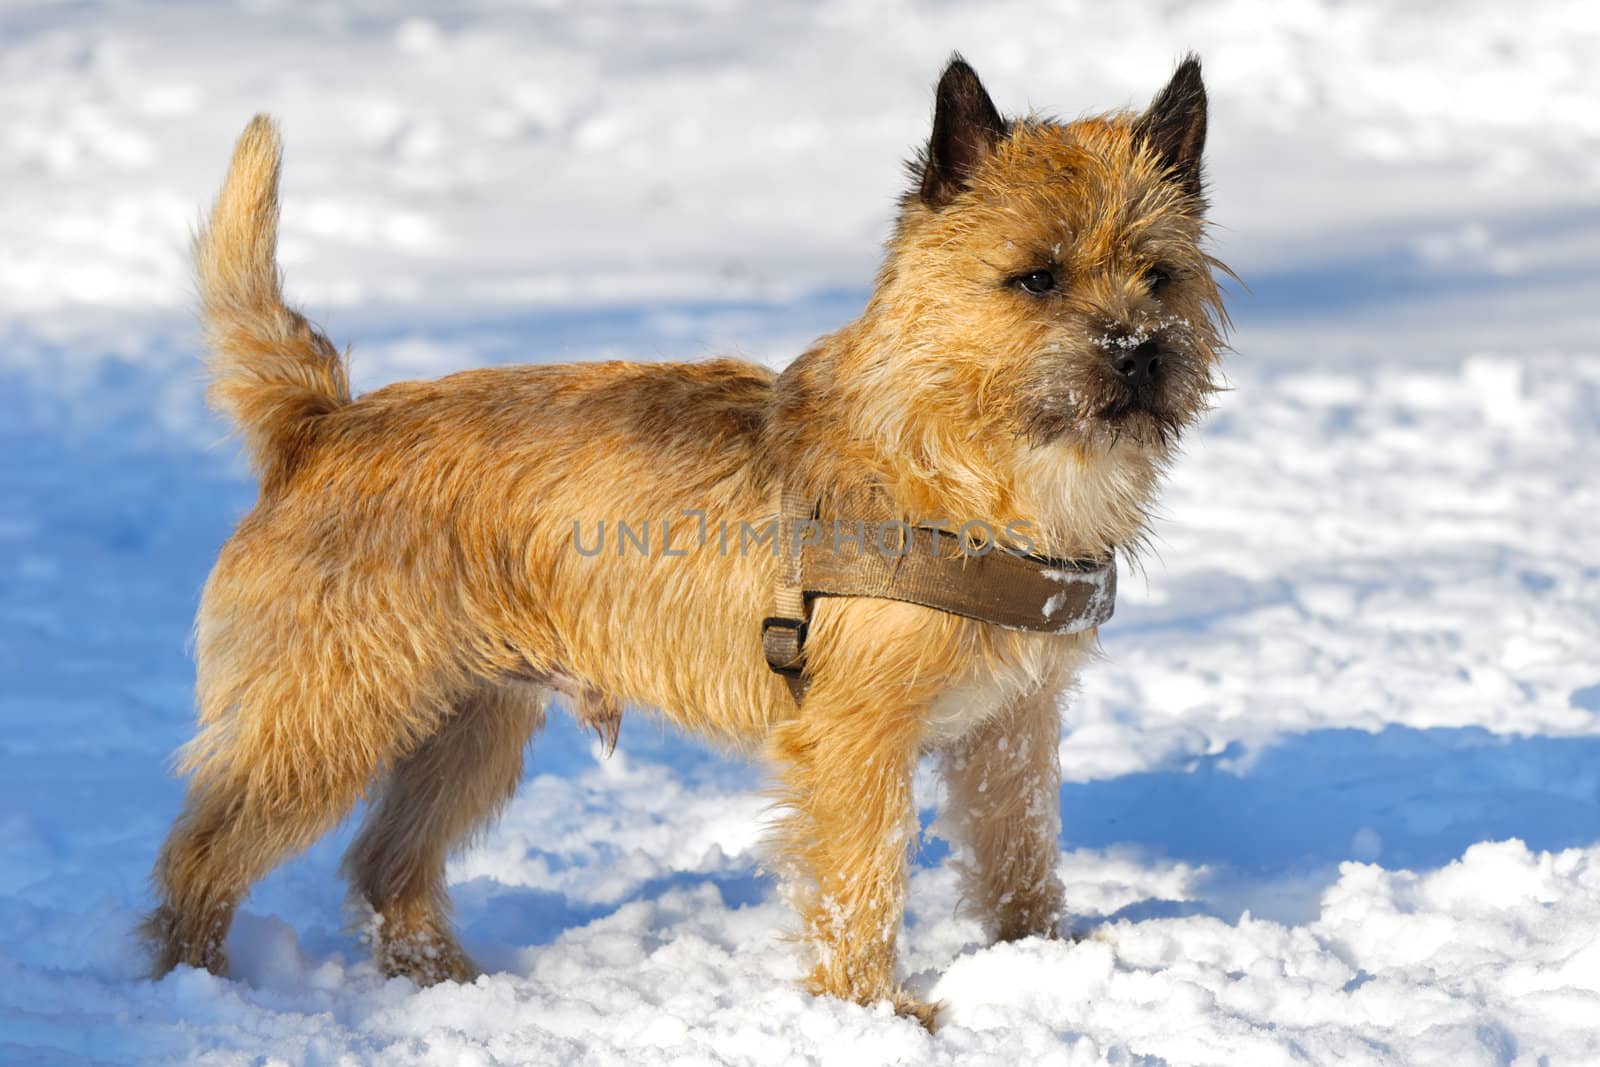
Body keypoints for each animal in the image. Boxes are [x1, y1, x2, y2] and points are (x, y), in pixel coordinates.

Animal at [147, 51, 1222, 1023]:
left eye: (1159, 275)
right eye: (1035, 278)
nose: (1139, 353)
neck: (970, 465)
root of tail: (319, 423)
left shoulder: (1013, 727)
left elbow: (1021, 855)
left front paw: (1042, 961)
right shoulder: (857, 737)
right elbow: (865, 877)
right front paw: (871, 1009)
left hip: (471, 726)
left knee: (386, 864)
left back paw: (448, 984)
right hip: (325, 718)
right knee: (201, 854)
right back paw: (192, 991)